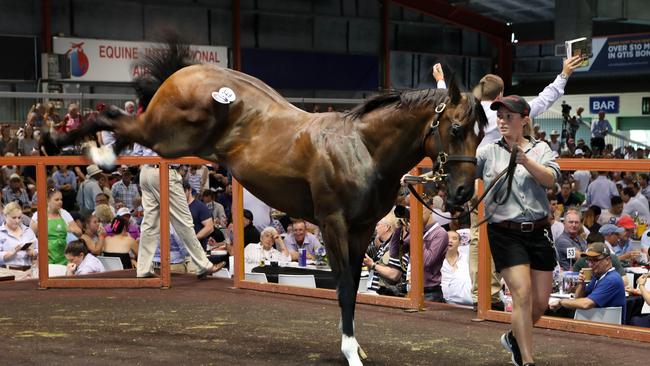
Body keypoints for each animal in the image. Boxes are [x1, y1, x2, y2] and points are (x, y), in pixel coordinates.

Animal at [53, 40, 484, 366]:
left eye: (481, 134)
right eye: (456, 128)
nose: (464, 193)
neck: (361, 149)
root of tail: (187, 72)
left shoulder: (362, 229)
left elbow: (353, 285)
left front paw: (355, 345)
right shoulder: (333, 223)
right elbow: (345, 287)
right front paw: (350, 352)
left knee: (121, 126)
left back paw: (97, 155)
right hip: (167, 136)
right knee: (113, 116)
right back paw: (65, 144)